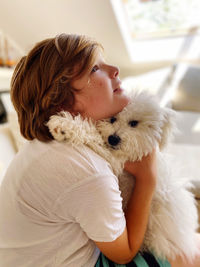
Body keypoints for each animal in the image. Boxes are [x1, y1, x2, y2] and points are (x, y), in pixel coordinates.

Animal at [47, 91, 198, 262]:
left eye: (134, 123)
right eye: (112, 118)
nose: (113, 138)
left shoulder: (117, 162)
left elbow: (95, 136)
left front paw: (64, 126)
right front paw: (64, 125)